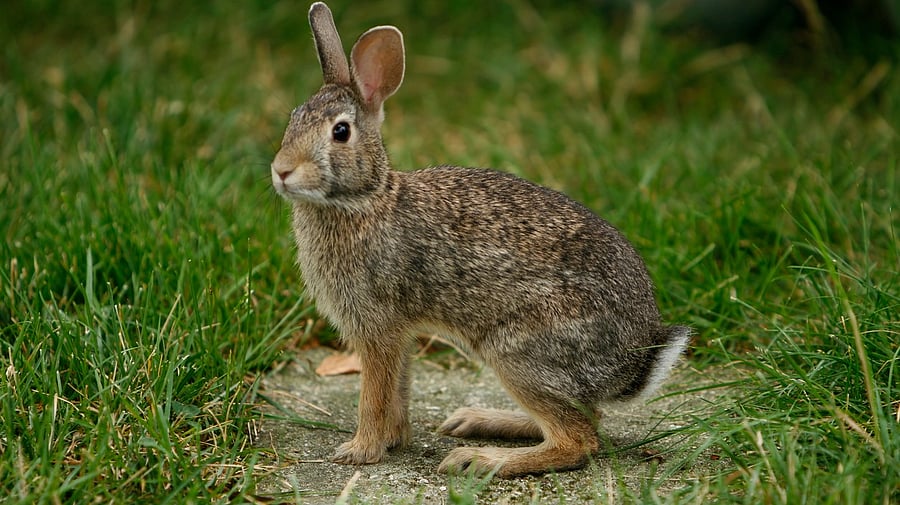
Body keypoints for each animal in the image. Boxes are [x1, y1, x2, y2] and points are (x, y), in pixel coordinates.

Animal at [270, 2, 690, 478]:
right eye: (293, 119)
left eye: (340, 132)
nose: (281, 171)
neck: (364, 200)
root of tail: (634, 359)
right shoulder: (400, 333)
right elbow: (399, 388)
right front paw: (394, 440)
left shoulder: (378, 328)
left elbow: (374, 394)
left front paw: (360, 451)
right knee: (586, 417)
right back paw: (475, 421)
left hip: (518, 352)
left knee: (578, 439)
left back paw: (478, 458)